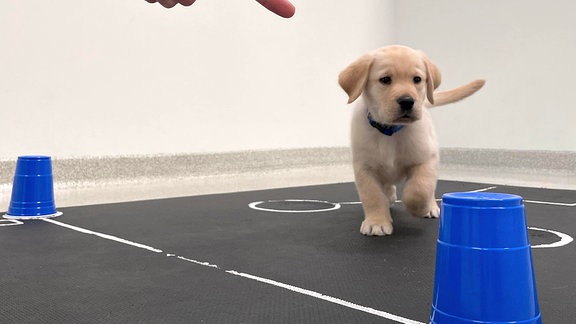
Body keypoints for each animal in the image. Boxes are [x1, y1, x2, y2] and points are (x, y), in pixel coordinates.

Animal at [340, 45, 484, 235]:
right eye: (385, 79)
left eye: (417, 79)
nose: (407, 101)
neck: (391, 131)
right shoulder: (364, 168)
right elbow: (373, 196)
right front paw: (377, 222)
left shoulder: (426, 159)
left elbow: (419, 189)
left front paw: (420, 208)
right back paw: (389, 195)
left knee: (429, 187)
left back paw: (430, 206)